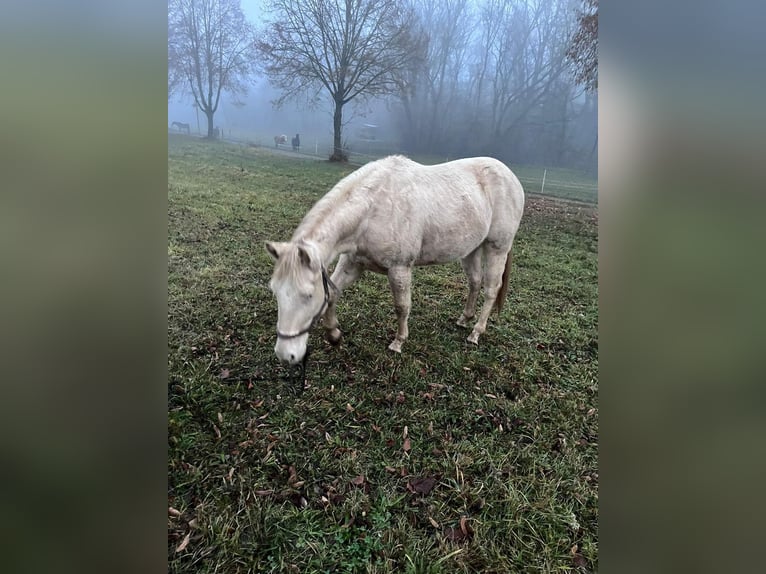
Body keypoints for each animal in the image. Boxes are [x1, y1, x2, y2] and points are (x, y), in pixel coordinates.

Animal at [266, 155, 525, 366]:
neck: (372, 209)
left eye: (307, 296)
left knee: (491, 289)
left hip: (497, 248)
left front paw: (398, 342)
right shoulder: (352, 264)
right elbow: (333, 295)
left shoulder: (399, 269)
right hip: (472, 248)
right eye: (276, 292)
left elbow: (402, 307)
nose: (285, 355)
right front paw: (334, 335)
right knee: (475, 281)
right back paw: (464, 319)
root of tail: (511, 177)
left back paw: (475, 333)